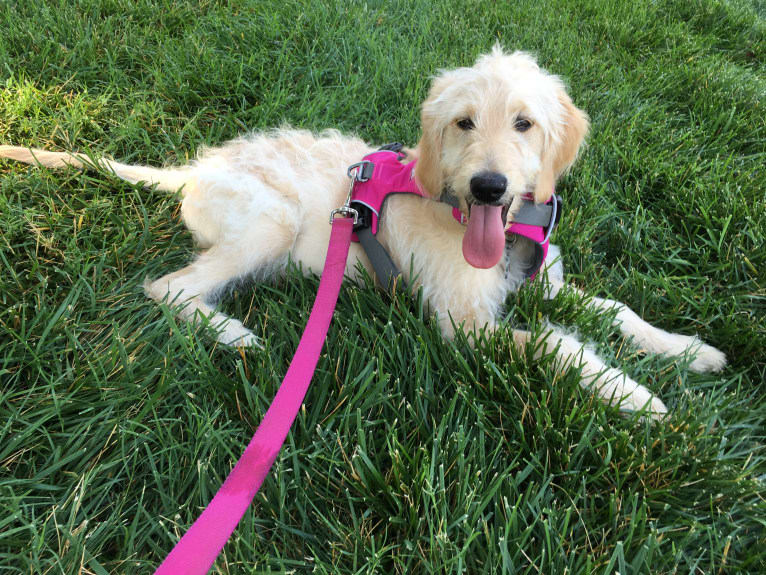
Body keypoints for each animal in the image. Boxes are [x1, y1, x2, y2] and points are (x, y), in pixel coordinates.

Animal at [0, 48, 728, 418]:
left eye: (524, 123)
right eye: (463, 122)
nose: (489, 186)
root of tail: (194, 171)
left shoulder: (541, 284)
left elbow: (614, 308)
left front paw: (688, 350)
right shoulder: (464, 327)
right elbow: (556, 346)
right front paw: (632, 394)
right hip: (270, 224)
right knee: (168, 286)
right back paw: (231, 332)